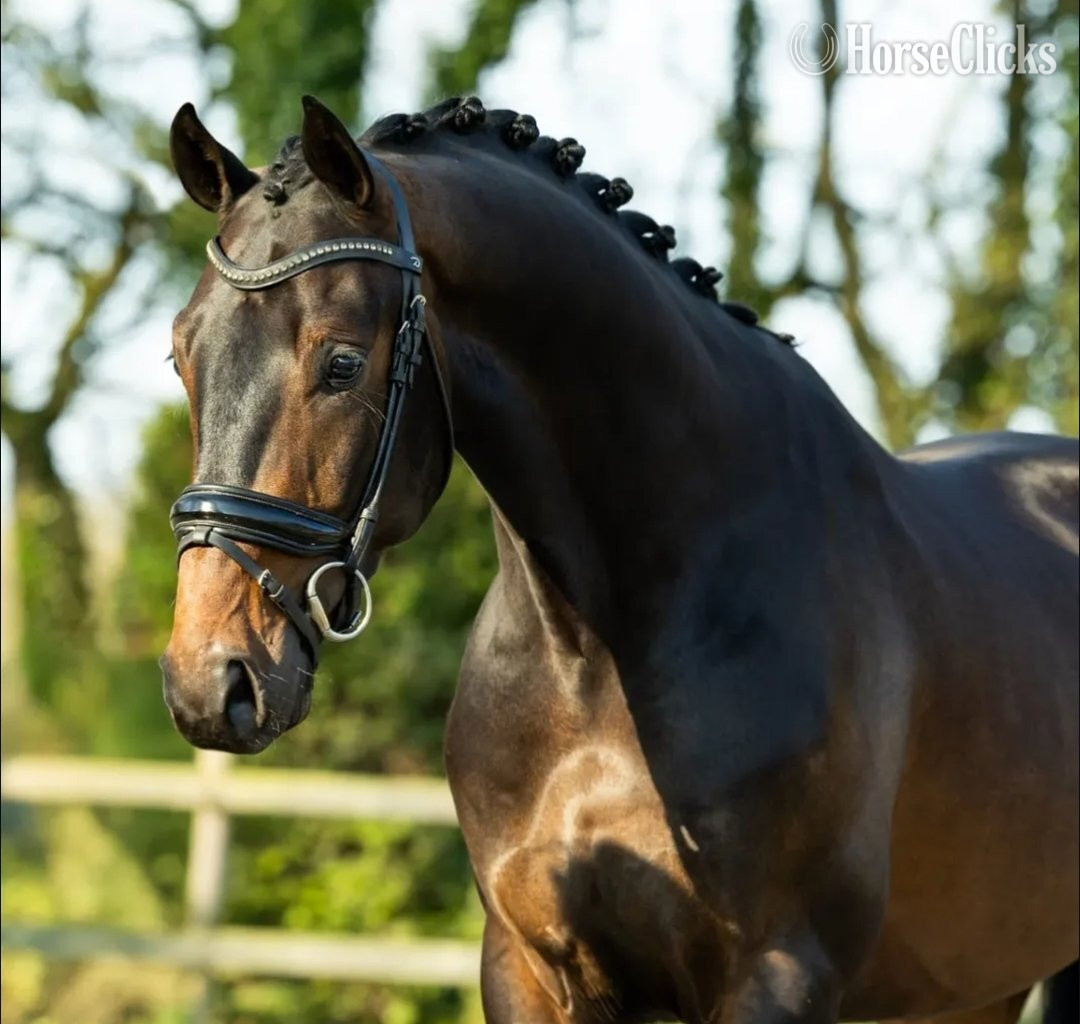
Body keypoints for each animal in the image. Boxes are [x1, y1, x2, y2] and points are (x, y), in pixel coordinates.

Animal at [160, 94, 1079, 1024]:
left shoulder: (780, 973)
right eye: (181, 355)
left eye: (343, 362)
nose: (210, 681)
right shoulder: (528, 966)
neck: (607, 646)